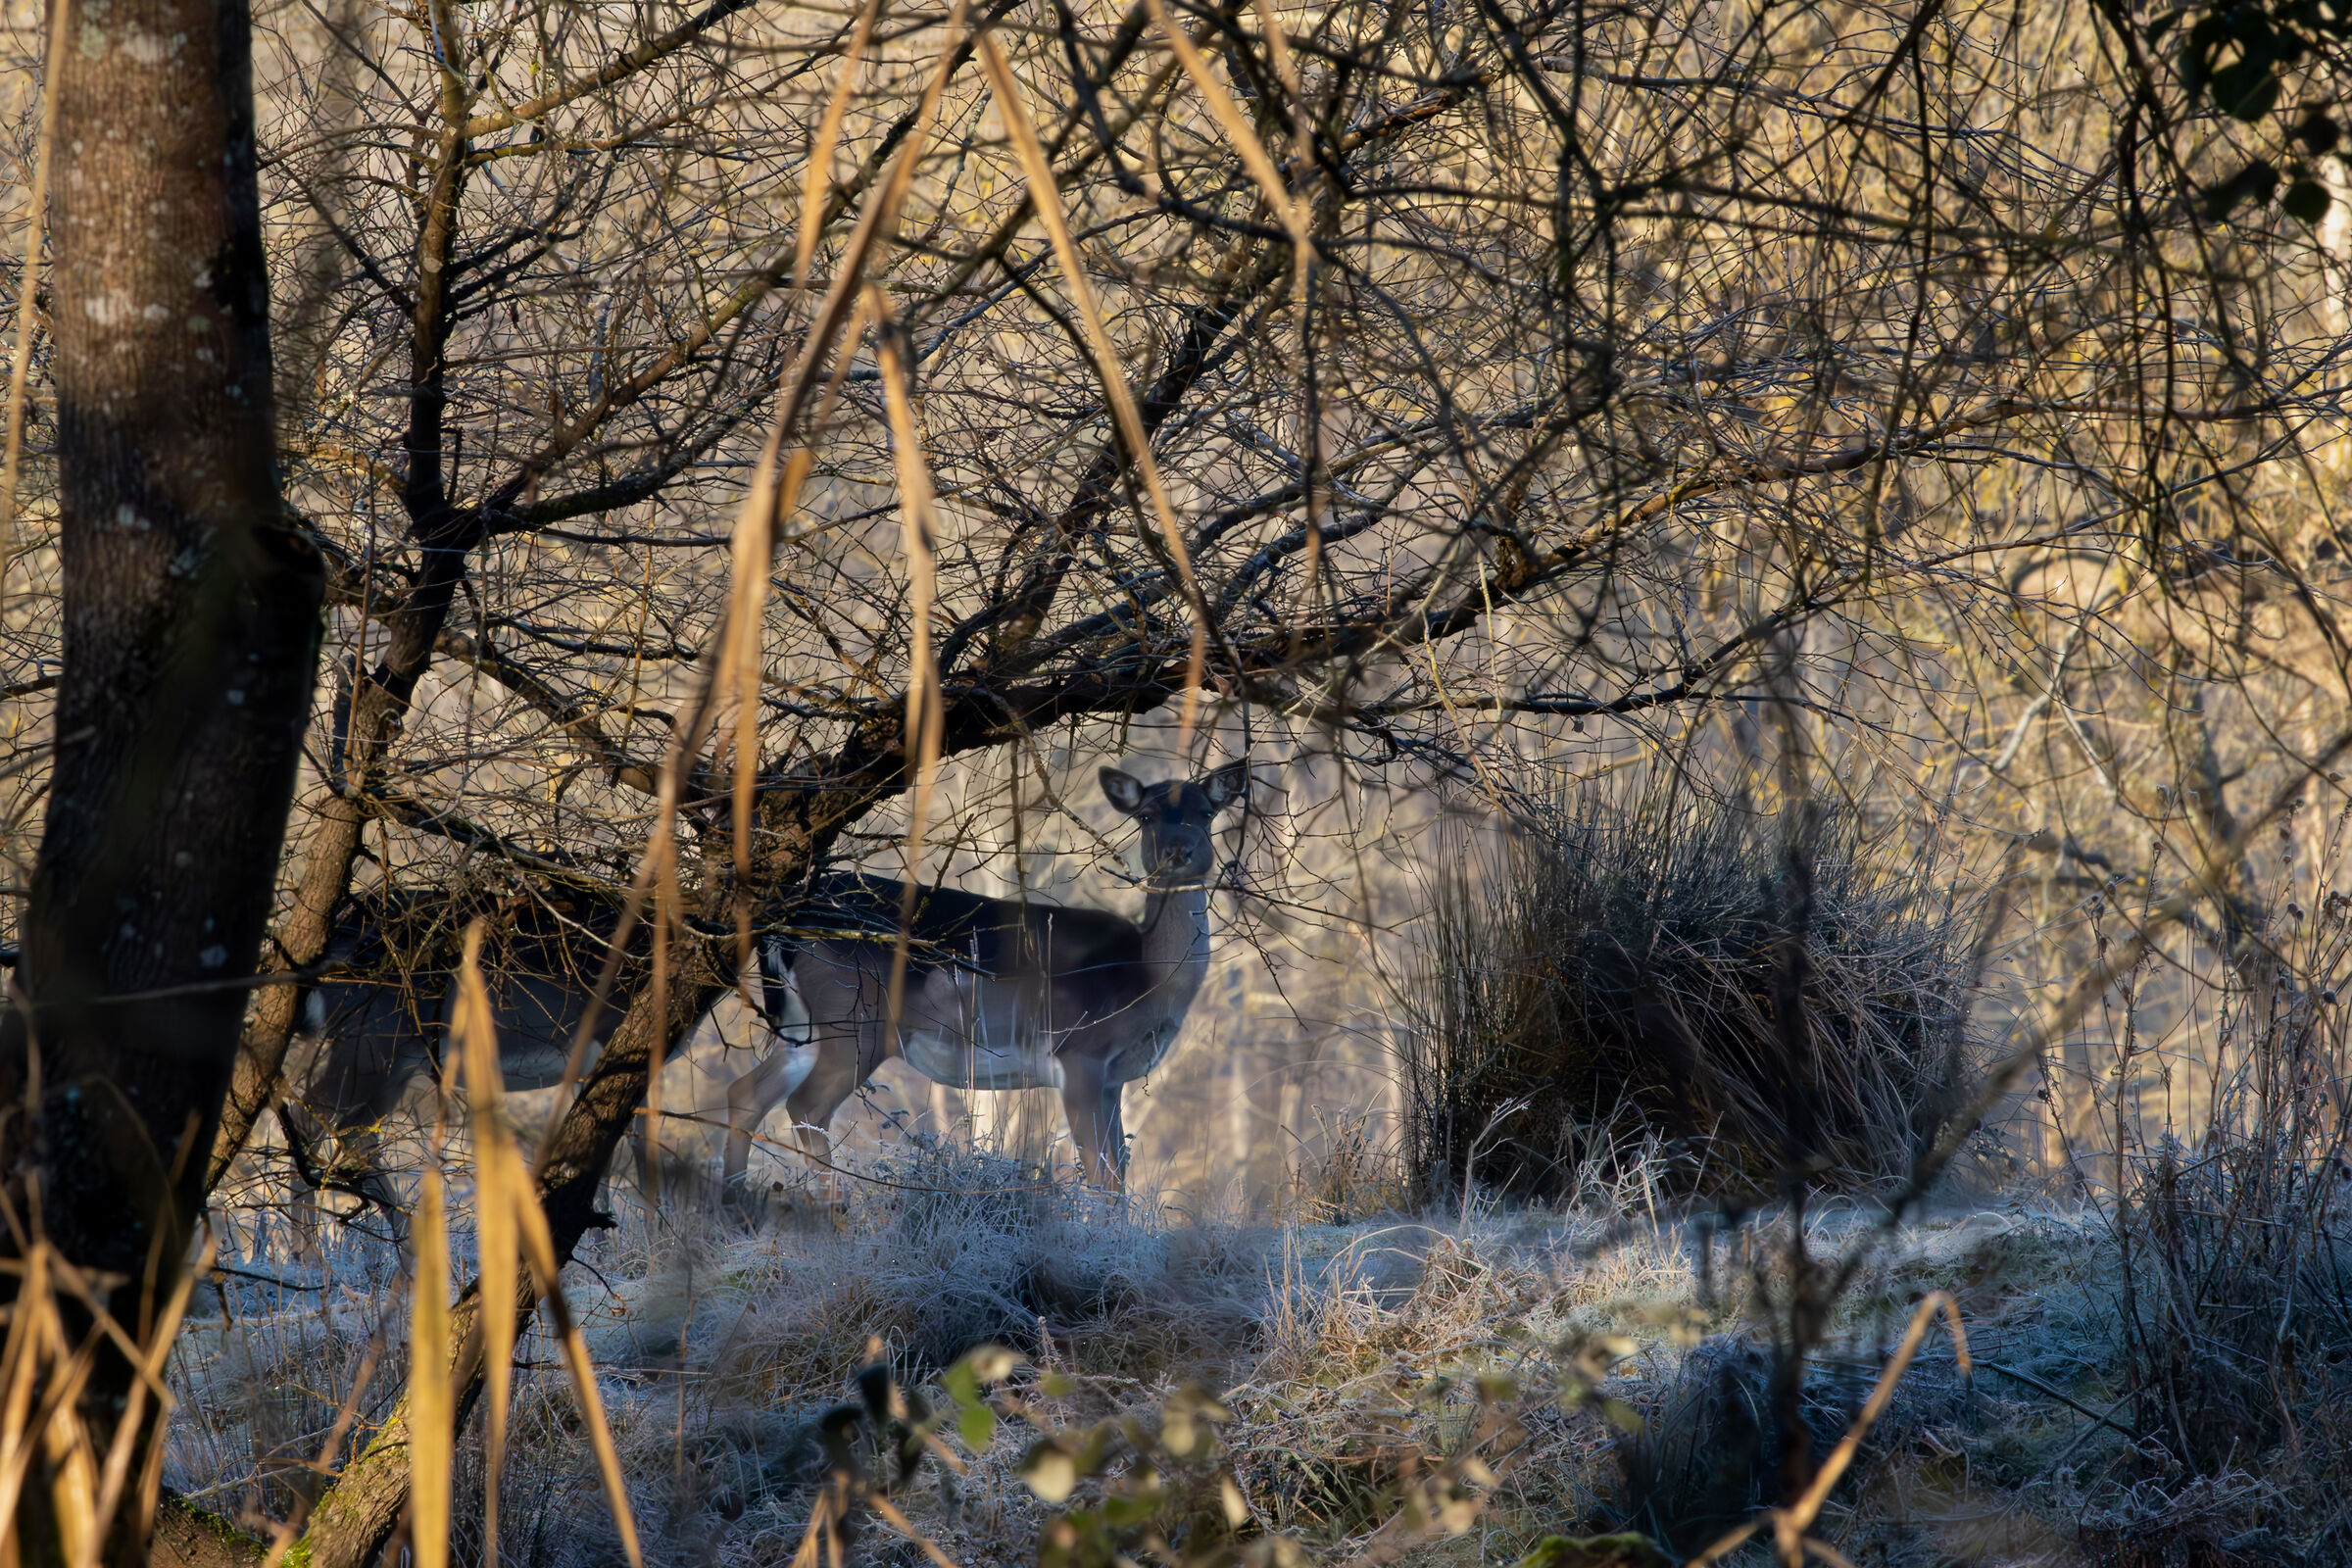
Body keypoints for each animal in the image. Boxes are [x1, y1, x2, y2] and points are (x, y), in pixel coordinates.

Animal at [717, 760, 1250, 1190]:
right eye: (1146, 816)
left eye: (1207, 812)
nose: (1178, 853)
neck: (1145, 975)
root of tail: (783, 921)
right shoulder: (1079, 1052)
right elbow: (1101, 1175)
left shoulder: (1113, 1078)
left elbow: (1119, 1170)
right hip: (854, 1021)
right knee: (805, 1107)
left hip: (802, 1025)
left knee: (746, 1094)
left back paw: (735, 1208)